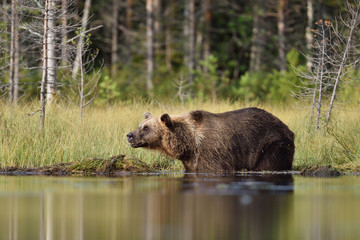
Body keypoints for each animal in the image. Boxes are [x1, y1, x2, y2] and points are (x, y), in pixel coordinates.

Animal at [127, 107, 296, 172]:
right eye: (140, 125)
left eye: (146, 128)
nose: (129, 135)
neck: (190, 143)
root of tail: (287, 128)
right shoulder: (191, 160)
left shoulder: (212, 153)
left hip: (272, 144)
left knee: (268, 163)